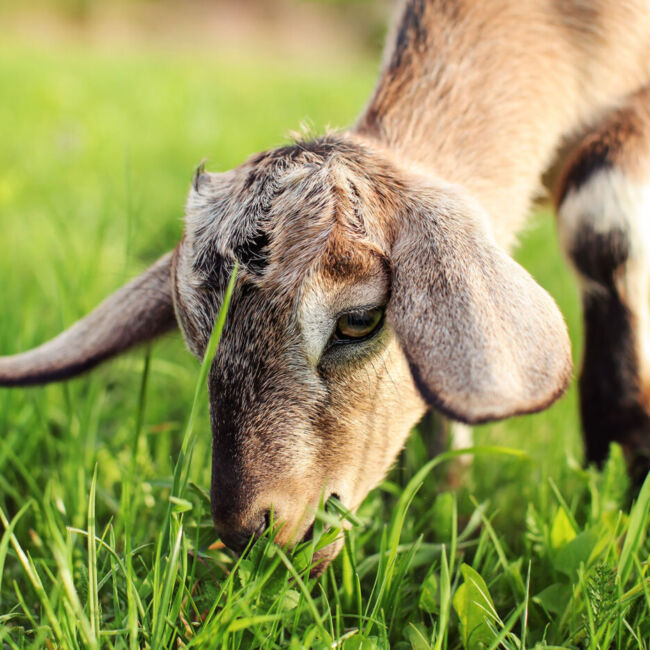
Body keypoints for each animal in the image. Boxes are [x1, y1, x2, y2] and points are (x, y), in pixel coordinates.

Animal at [2, 0, 650, 572]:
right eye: (196, 342)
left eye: (360, 319)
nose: (254, 530)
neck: (564, 26)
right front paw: (451, 498)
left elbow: (599, 216)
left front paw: (622, 467)